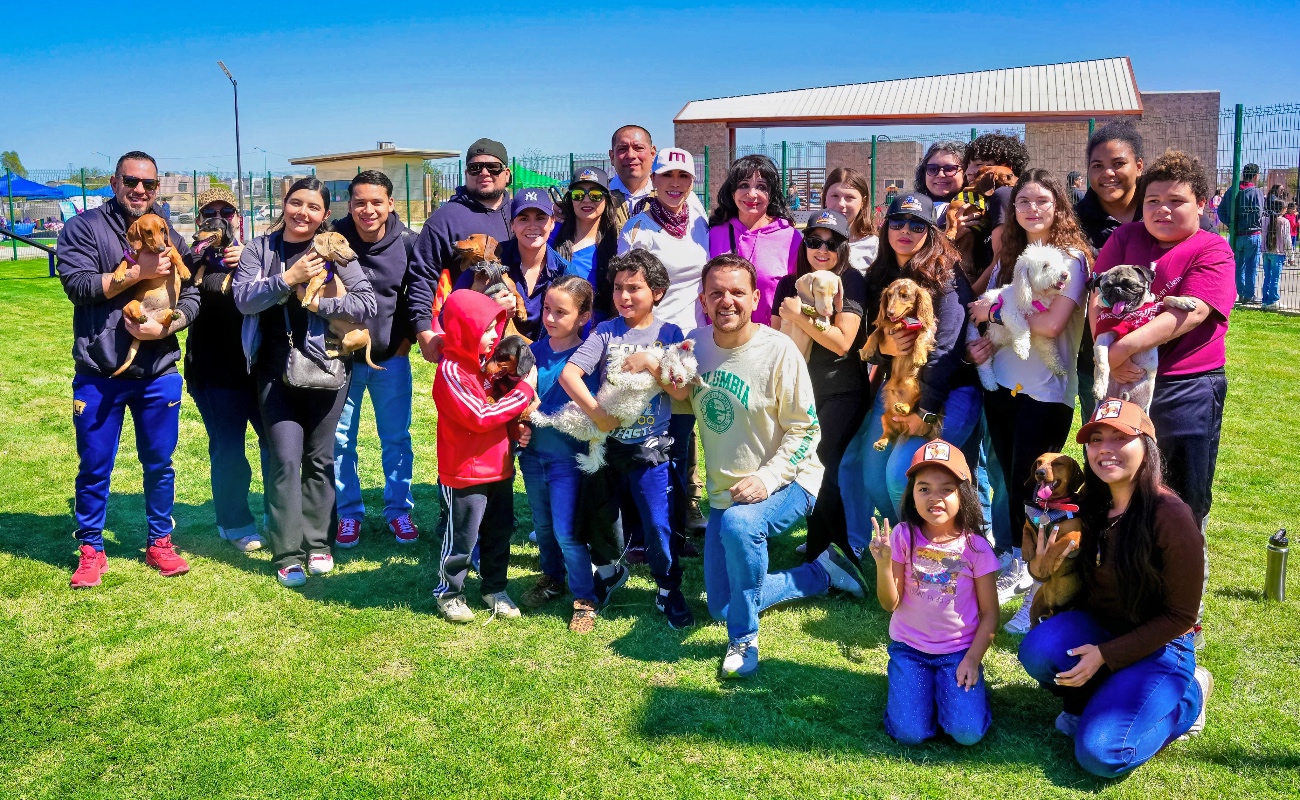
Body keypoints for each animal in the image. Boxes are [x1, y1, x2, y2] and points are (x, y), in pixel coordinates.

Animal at [527, 340, 702, 476]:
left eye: (688, 377)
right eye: (683, 364)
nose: (681, 380)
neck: (657, 363)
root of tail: (599, 438)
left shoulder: (646, 381)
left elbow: (629, 380)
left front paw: (614, 378)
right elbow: (623, 358)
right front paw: (618, 357)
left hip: (574, 419)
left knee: (554, 421)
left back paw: (538, 416)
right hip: (574, 406)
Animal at [972, 244, 1071, 395]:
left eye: (1059, 262)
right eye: (1045, 265)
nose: (1065, 274)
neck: (1033, 296)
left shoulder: (1040, 331)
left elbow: (1048, 348)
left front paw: (1057, 365)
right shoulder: (1008, 310)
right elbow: (1021, 326)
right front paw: (1022, 349)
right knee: (984, 364)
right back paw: (989, 383)